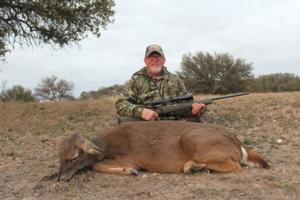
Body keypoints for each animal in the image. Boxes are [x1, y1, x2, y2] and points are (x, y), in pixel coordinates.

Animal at [42, 120, 270, 181]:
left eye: (74, 156)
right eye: (59, 157)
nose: (61, 178)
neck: (107, 145)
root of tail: (238, 142)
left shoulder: (129, 157)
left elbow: (96, 166)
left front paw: (131, 171)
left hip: (193, 139)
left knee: (236, 166)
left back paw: (192, 167)